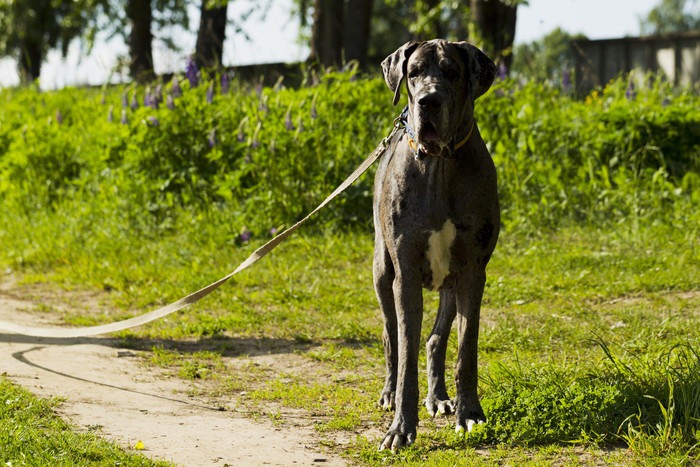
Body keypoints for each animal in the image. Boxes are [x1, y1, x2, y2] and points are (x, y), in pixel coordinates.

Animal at [372, 41, 498, 454]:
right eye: (413, 73)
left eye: (452, 72)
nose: (428, 100)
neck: (440, 166)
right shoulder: (406, 274)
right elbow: (406, 352)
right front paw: (400, 428)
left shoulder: (473, 272)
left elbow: (465, 348)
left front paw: (469, 413)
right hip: (382, 272)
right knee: (392, 337)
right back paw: (389, 393)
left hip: (450, 285)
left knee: (435, 340)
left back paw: (440, 397)